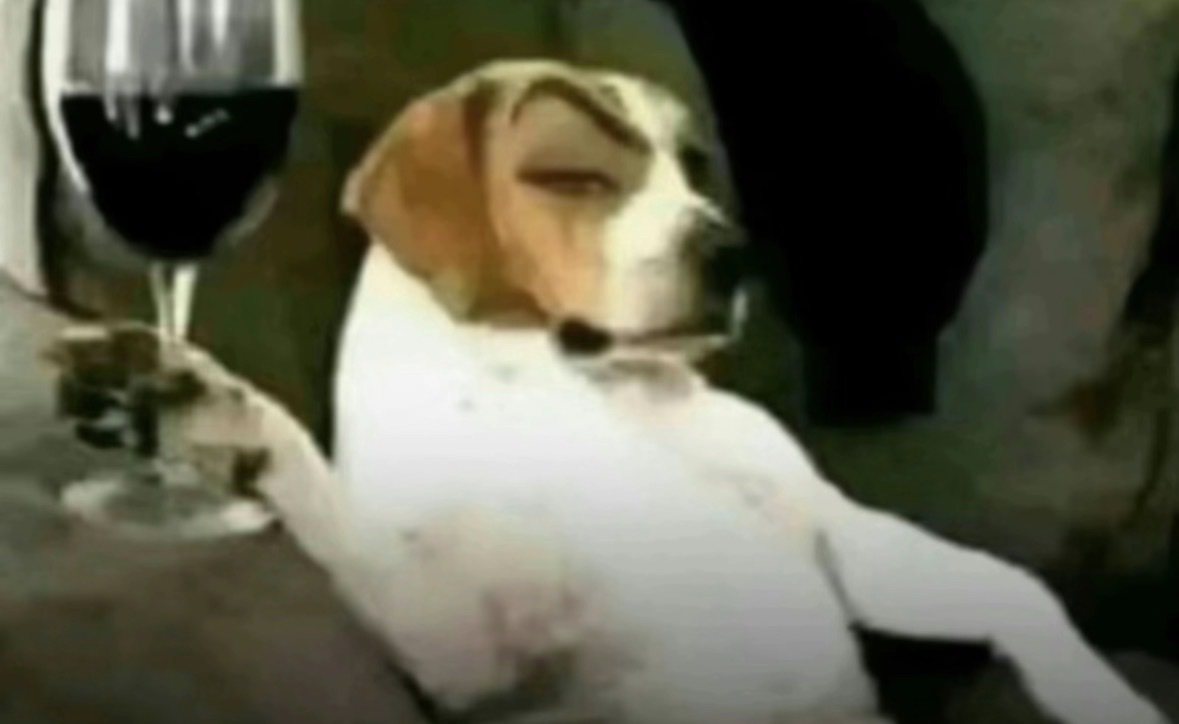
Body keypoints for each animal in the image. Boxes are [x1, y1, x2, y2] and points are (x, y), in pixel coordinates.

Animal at [51, 61, 1167, 724]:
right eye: (572, 178)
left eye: (694, 164)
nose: (734, 252)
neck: (593, 392)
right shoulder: (460, 649)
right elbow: (314, 490)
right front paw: (203, 402)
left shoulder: (840, 541)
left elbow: (1016, 589)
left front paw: (1101, 695)